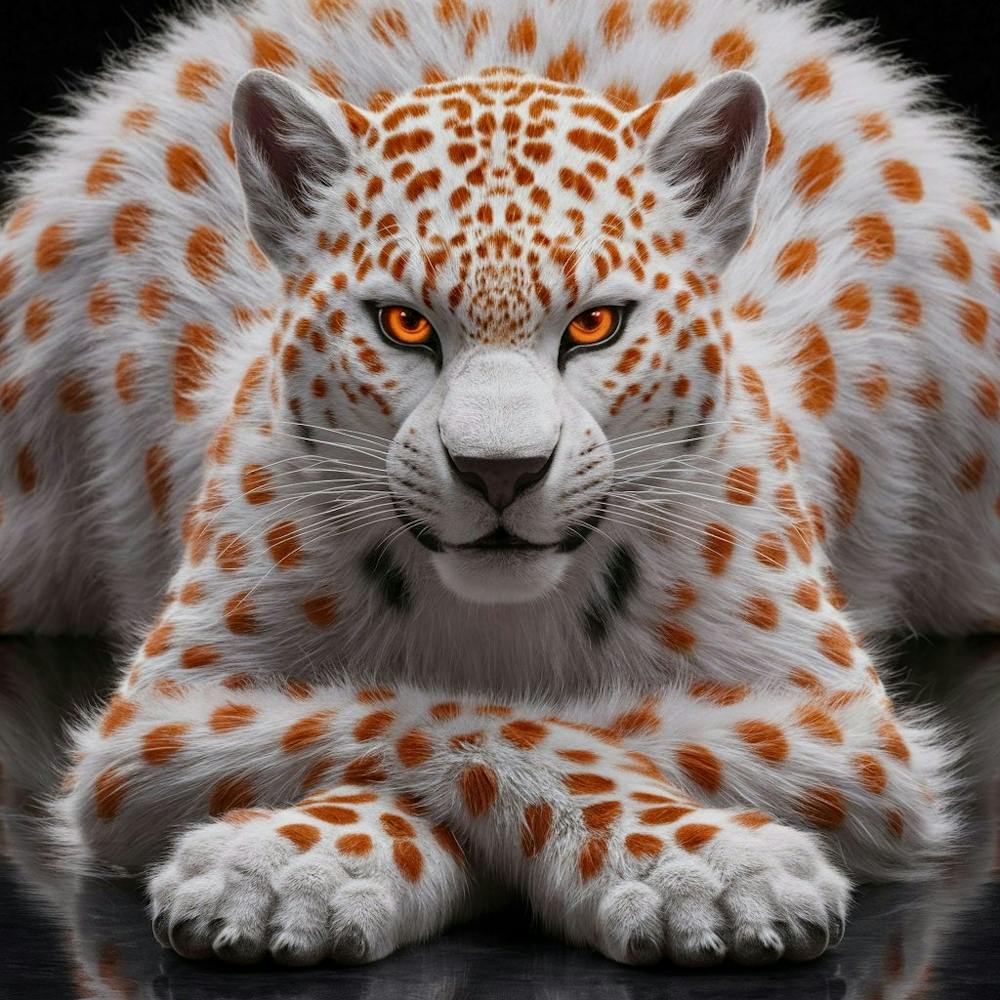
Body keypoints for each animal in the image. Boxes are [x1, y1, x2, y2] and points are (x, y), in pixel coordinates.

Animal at [0, 0, 998, 971]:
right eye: (403, 324)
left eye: (596, 324)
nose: (500, 471)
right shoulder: (159, 712)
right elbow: (450, 716)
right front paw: (276, 874)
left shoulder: (848, 726)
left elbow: (608, 726)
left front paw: (715, 880)